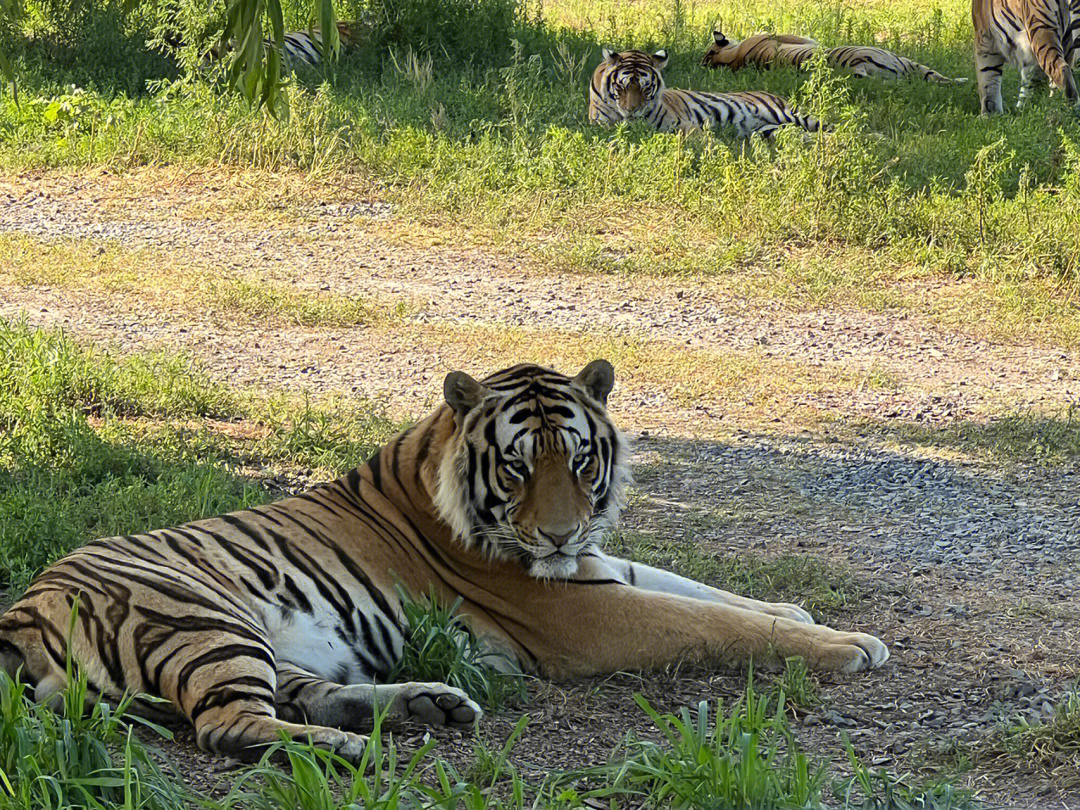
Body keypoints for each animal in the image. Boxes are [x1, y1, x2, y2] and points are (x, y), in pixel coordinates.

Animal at [0, 360, 885, 768]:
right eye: (519, 467)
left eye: (580, 459)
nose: (559, 535)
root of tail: (22, 608)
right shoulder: (581, 613)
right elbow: (705, 620)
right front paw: (847, 646)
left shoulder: (595, 569)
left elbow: (706, 592)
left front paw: (807, 616)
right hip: (202, 617)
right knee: (227, 725)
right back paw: (358, 750)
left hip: (256, 643)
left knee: (301, 694)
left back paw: (431, 706)